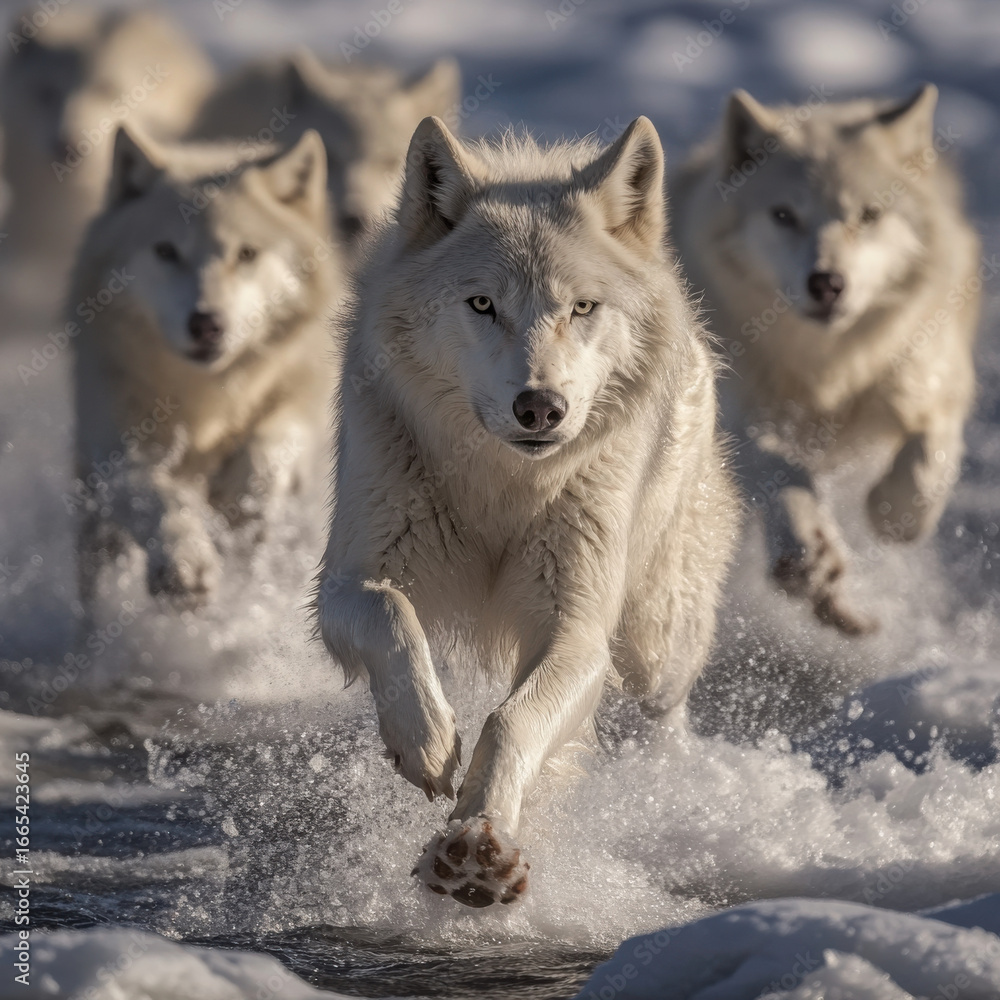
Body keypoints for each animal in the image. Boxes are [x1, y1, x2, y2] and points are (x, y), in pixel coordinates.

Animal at [71, 125, 340, 618]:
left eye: (246, 253)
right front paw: (185, 563)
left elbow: (271, 444)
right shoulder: (115, 443)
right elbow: (154, 493)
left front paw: (240, 497)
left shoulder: (302, 401)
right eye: (166, 251)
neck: (207, 396)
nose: (206, 324)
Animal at [316, 115, 739, 906]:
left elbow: (514, 720)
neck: (502, 486)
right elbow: (394, 622)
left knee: (664, 710)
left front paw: (478, 848)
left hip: (654, 642)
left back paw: (669, 794)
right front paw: (426, 741)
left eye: (583, 307)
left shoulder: (576, 628)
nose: (540, 407)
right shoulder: (347, 579)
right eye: (483, 304)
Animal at [672, 84, 980, 634]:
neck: (827, 367)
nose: (827, 283)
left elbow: (929, 453)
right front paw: (806, 547)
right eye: (784, 216)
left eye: (869, 215)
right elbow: (779, 468)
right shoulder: (737, 408)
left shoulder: (932, 376)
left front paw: (893, 513)